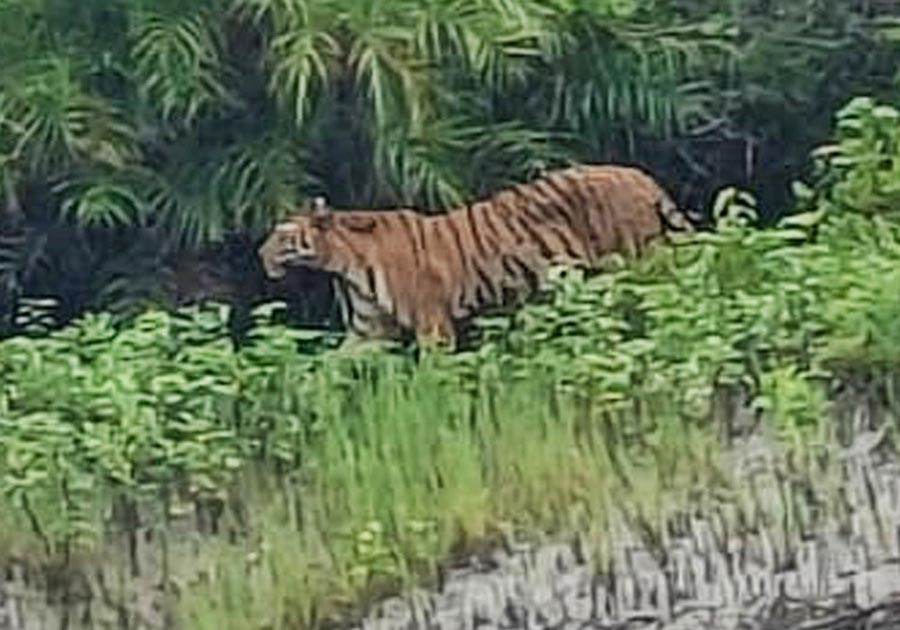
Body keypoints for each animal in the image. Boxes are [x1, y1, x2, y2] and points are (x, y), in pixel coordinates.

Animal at [258, 164, 698, 351]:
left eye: (282, 235)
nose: (259, 254)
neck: (344, 265)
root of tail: (636, 174)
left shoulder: (433, 325)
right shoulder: (368, 330)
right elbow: (330, 370)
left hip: (637, 260)